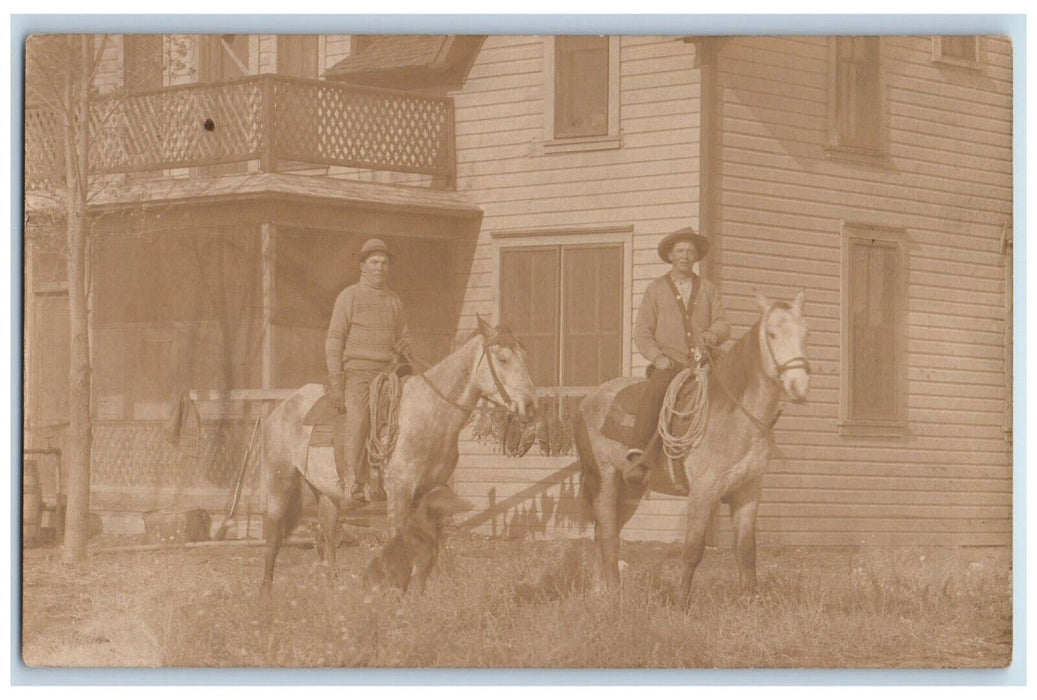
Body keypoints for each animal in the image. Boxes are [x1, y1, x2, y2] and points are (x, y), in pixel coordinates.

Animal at [259, 315, 539, 589]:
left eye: (526, 357)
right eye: (503, 359)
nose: (530, 406)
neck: (428, 413)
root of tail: (282, 407)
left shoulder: (429, 492)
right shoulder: (399, 492)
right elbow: (397, 538)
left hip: (326, 491)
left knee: (326, 533)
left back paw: (334, 584)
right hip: (279, 480)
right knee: (273, 535)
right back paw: (265, 590)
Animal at [576, 292, 808, 605]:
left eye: (805, 334)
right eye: (772, 334)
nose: (799, 386)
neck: (735, 417)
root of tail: (587, 401)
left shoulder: (748, 491)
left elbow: (746, 551)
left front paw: (750, 601)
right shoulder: (703, 491)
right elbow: (693, 550)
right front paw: (680, 602)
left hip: (629, 492)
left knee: (603, 533)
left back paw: (600, 592)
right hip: (603, 481)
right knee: (609, 537)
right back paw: (613, 593)